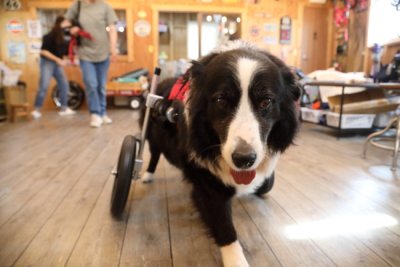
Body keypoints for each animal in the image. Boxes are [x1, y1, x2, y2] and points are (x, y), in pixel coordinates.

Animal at [141, 40, 300, 266]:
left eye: (266, 101)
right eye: (221, 100)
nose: (244, 159)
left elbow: (263, 181)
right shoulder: (208, 184)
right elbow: (224, 227)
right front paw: (236, 260)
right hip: (152, 137)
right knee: (153, 154)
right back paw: (147, 175)